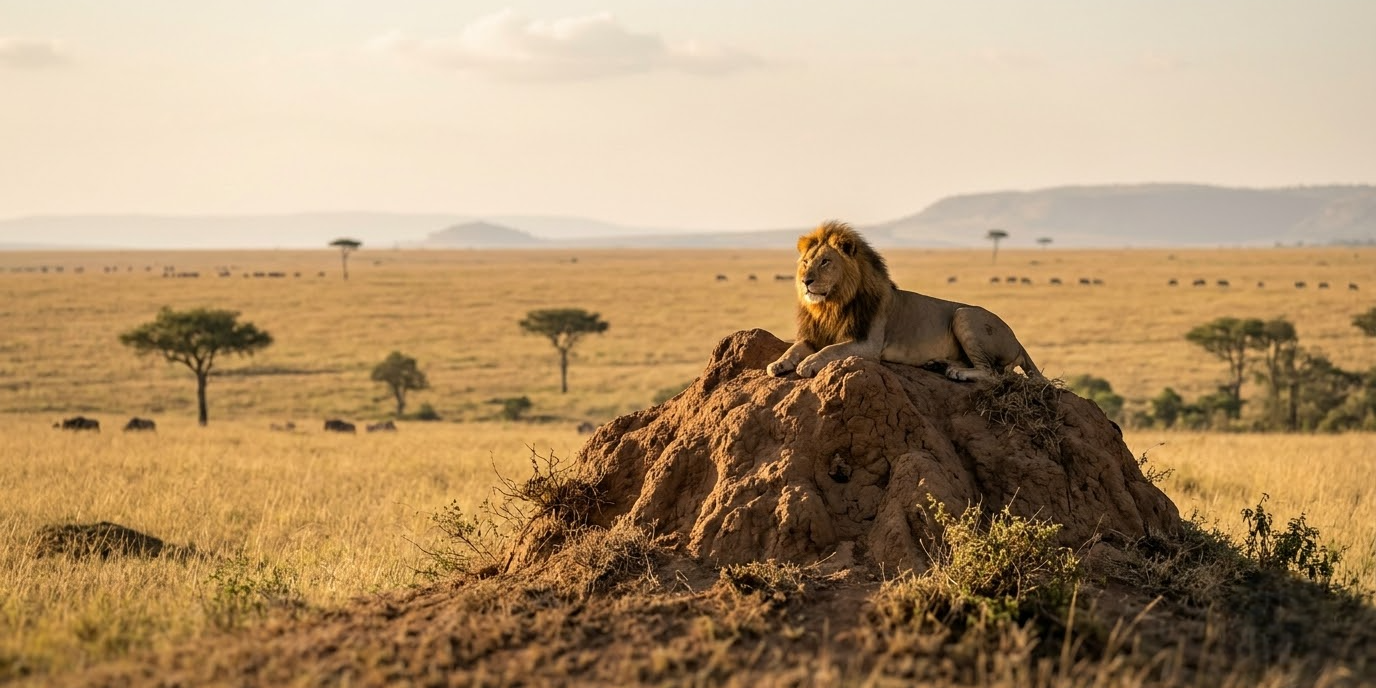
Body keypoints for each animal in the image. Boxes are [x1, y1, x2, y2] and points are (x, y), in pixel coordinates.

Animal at [767, 221, 1041, 381]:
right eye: (805, 262)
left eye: (825, 262)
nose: (806, 281)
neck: (831, 304)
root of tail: (1017, 340)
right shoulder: (814, 334)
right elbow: (795, 347)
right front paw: (778, 363)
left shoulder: (868, 344)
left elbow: (831, 350)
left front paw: (808, 363)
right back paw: (938, 364)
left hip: (964, 315)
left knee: (993, 374)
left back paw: (957, 372)